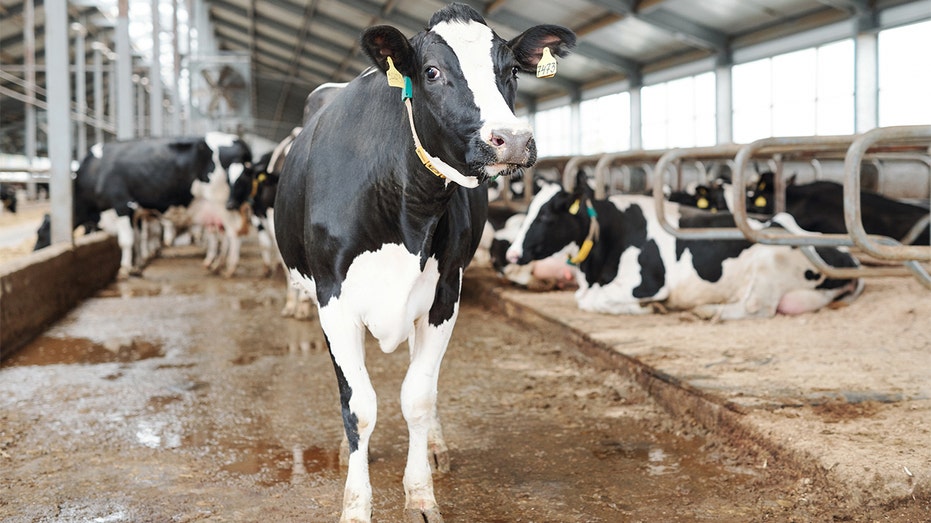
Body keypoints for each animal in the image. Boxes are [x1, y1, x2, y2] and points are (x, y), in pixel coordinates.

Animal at [34, 136, 215, 278]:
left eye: (41, 234)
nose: (34, 251)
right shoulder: (136, 212)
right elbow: (138, 238)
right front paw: (138, 266)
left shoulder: (122, 205)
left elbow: (127, 241)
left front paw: (125, 269)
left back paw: (215, 263)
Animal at [272, 3, 576, 520]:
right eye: (432, 72)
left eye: (512, 70)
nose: (513, 140)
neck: (407, 210)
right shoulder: (333, 298)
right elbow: (358, 406)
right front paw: (356, 504)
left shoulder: (444, 294)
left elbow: (416, 396)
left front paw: (419, 494)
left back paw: (434, 445)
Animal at [506, 172, 864, 320]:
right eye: (529, 210)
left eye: (547, 215)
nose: (512, 253)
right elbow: (583, 299)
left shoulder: (646, 284)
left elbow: (590, 302)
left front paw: (652, 308)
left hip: (769, 262)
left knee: (755, 307)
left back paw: (706, 311)